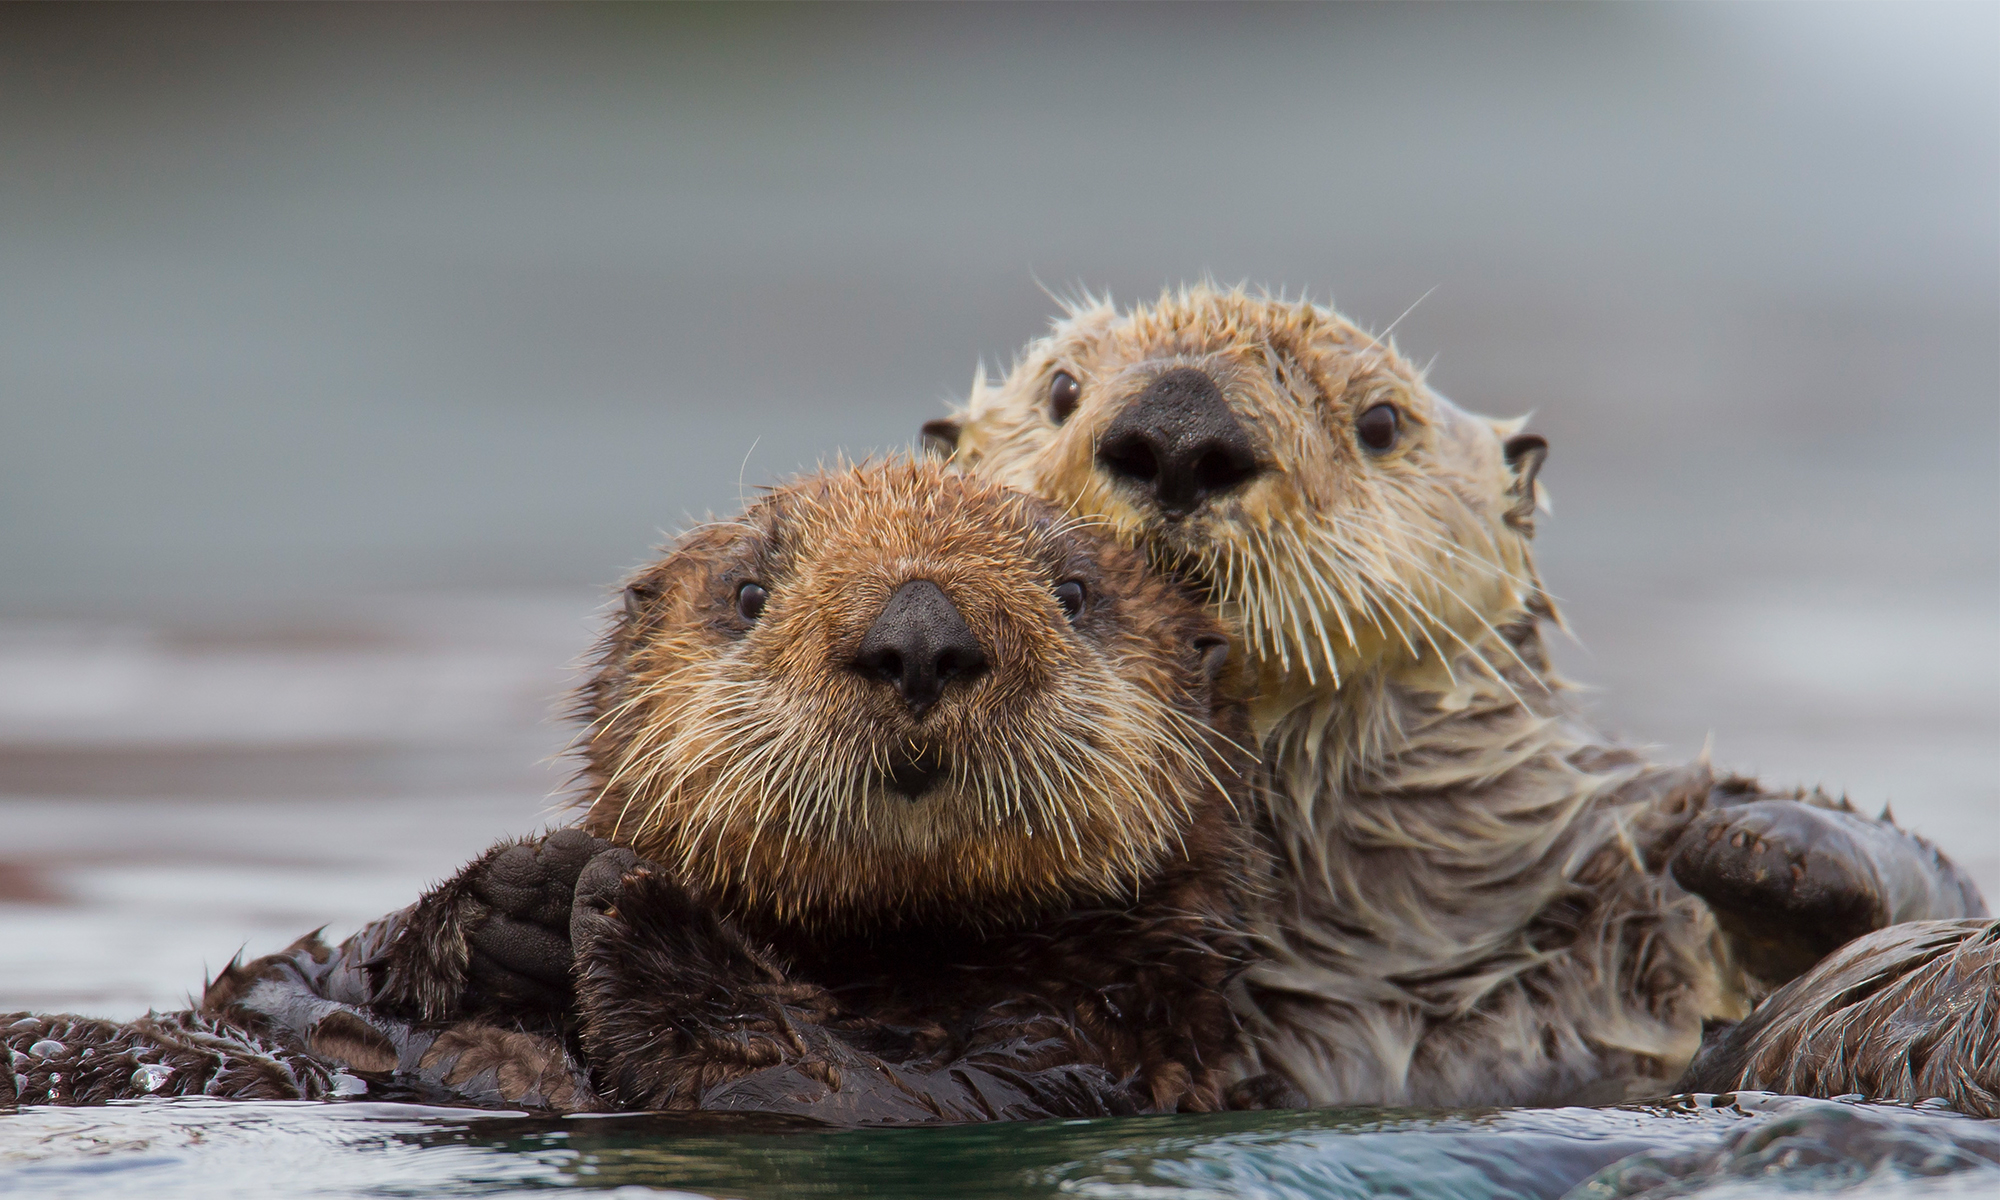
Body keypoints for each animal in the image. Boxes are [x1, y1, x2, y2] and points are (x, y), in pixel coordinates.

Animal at [3, 464, 1264, 1120]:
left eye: (1075, 592)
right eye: (751, 593)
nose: (918, 635)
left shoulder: (1088, 1050)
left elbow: (847, 1094)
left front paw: (635, 914)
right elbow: (278, 986)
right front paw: (501, 905)